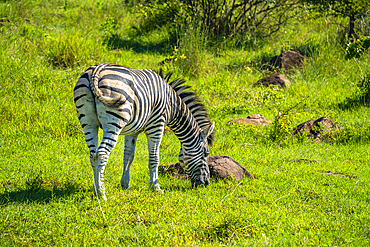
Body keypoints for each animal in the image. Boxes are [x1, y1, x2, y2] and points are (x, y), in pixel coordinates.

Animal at [73, 64, 214, 201]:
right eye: (206, 153)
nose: (207, 183)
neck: (172, 105)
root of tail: (96, 71)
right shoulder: (157, 126)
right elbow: (154, 158)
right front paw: (156, 187)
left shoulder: (132, 131)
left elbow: (128, 156)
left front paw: (125, 184)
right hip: (113, 122)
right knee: (101, 154)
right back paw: (101, 194)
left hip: (89, 123)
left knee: (93, 155)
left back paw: (96, 188)